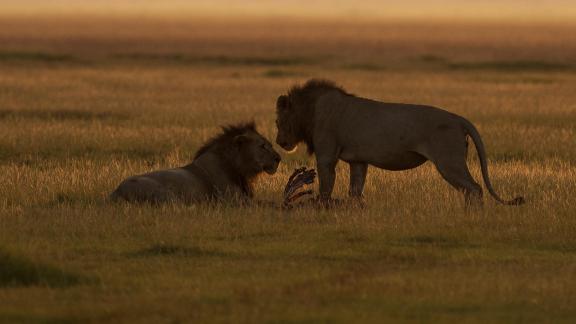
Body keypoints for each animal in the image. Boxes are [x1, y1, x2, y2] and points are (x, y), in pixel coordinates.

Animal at [110, 123, 282, 204]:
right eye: (262, 146)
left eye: (270, 144)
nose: (278, 158)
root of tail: (115, 193)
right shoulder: (235, 201)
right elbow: (268, 204)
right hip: (167, 195)